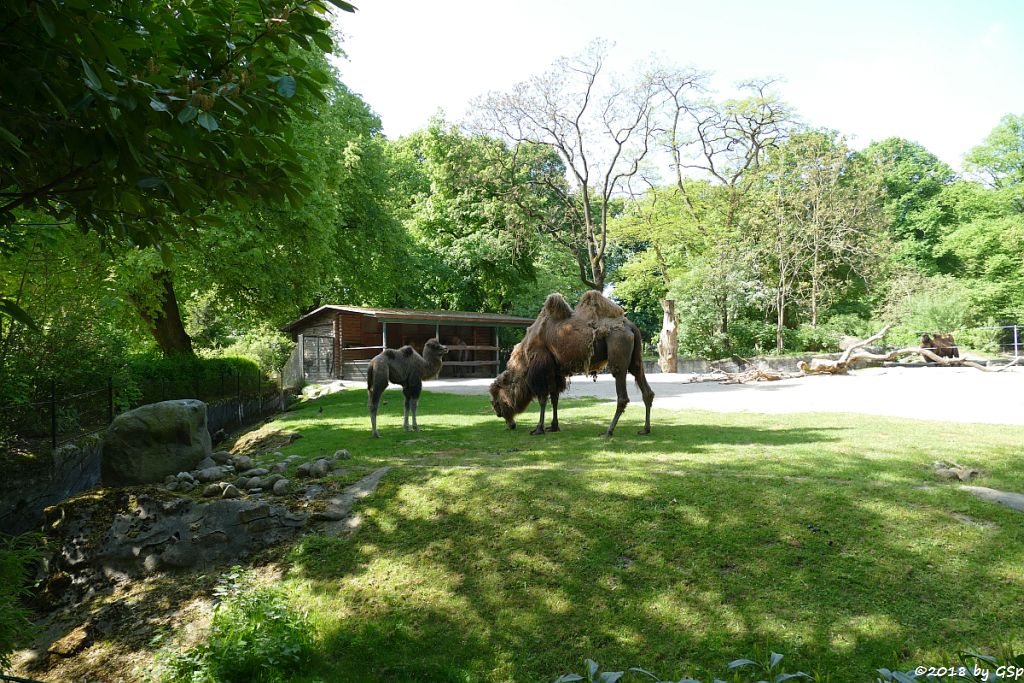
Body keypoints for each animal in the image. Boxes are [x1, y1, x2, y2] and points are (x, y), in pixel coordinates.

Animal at [489, 292, 655, 438]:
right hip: (636, 358)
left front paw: (538, 429)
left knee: (622, 394)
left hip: (618, 348)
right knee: (645, 387)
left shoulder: (541, 368)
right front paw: (553, 426)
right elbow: (554, 397)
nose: (510, 424)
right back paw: (645, 429)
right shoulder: (555, 370)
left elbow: (543, 398)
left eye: (496, 401)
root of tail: (631, 327)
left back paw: (608, 431)